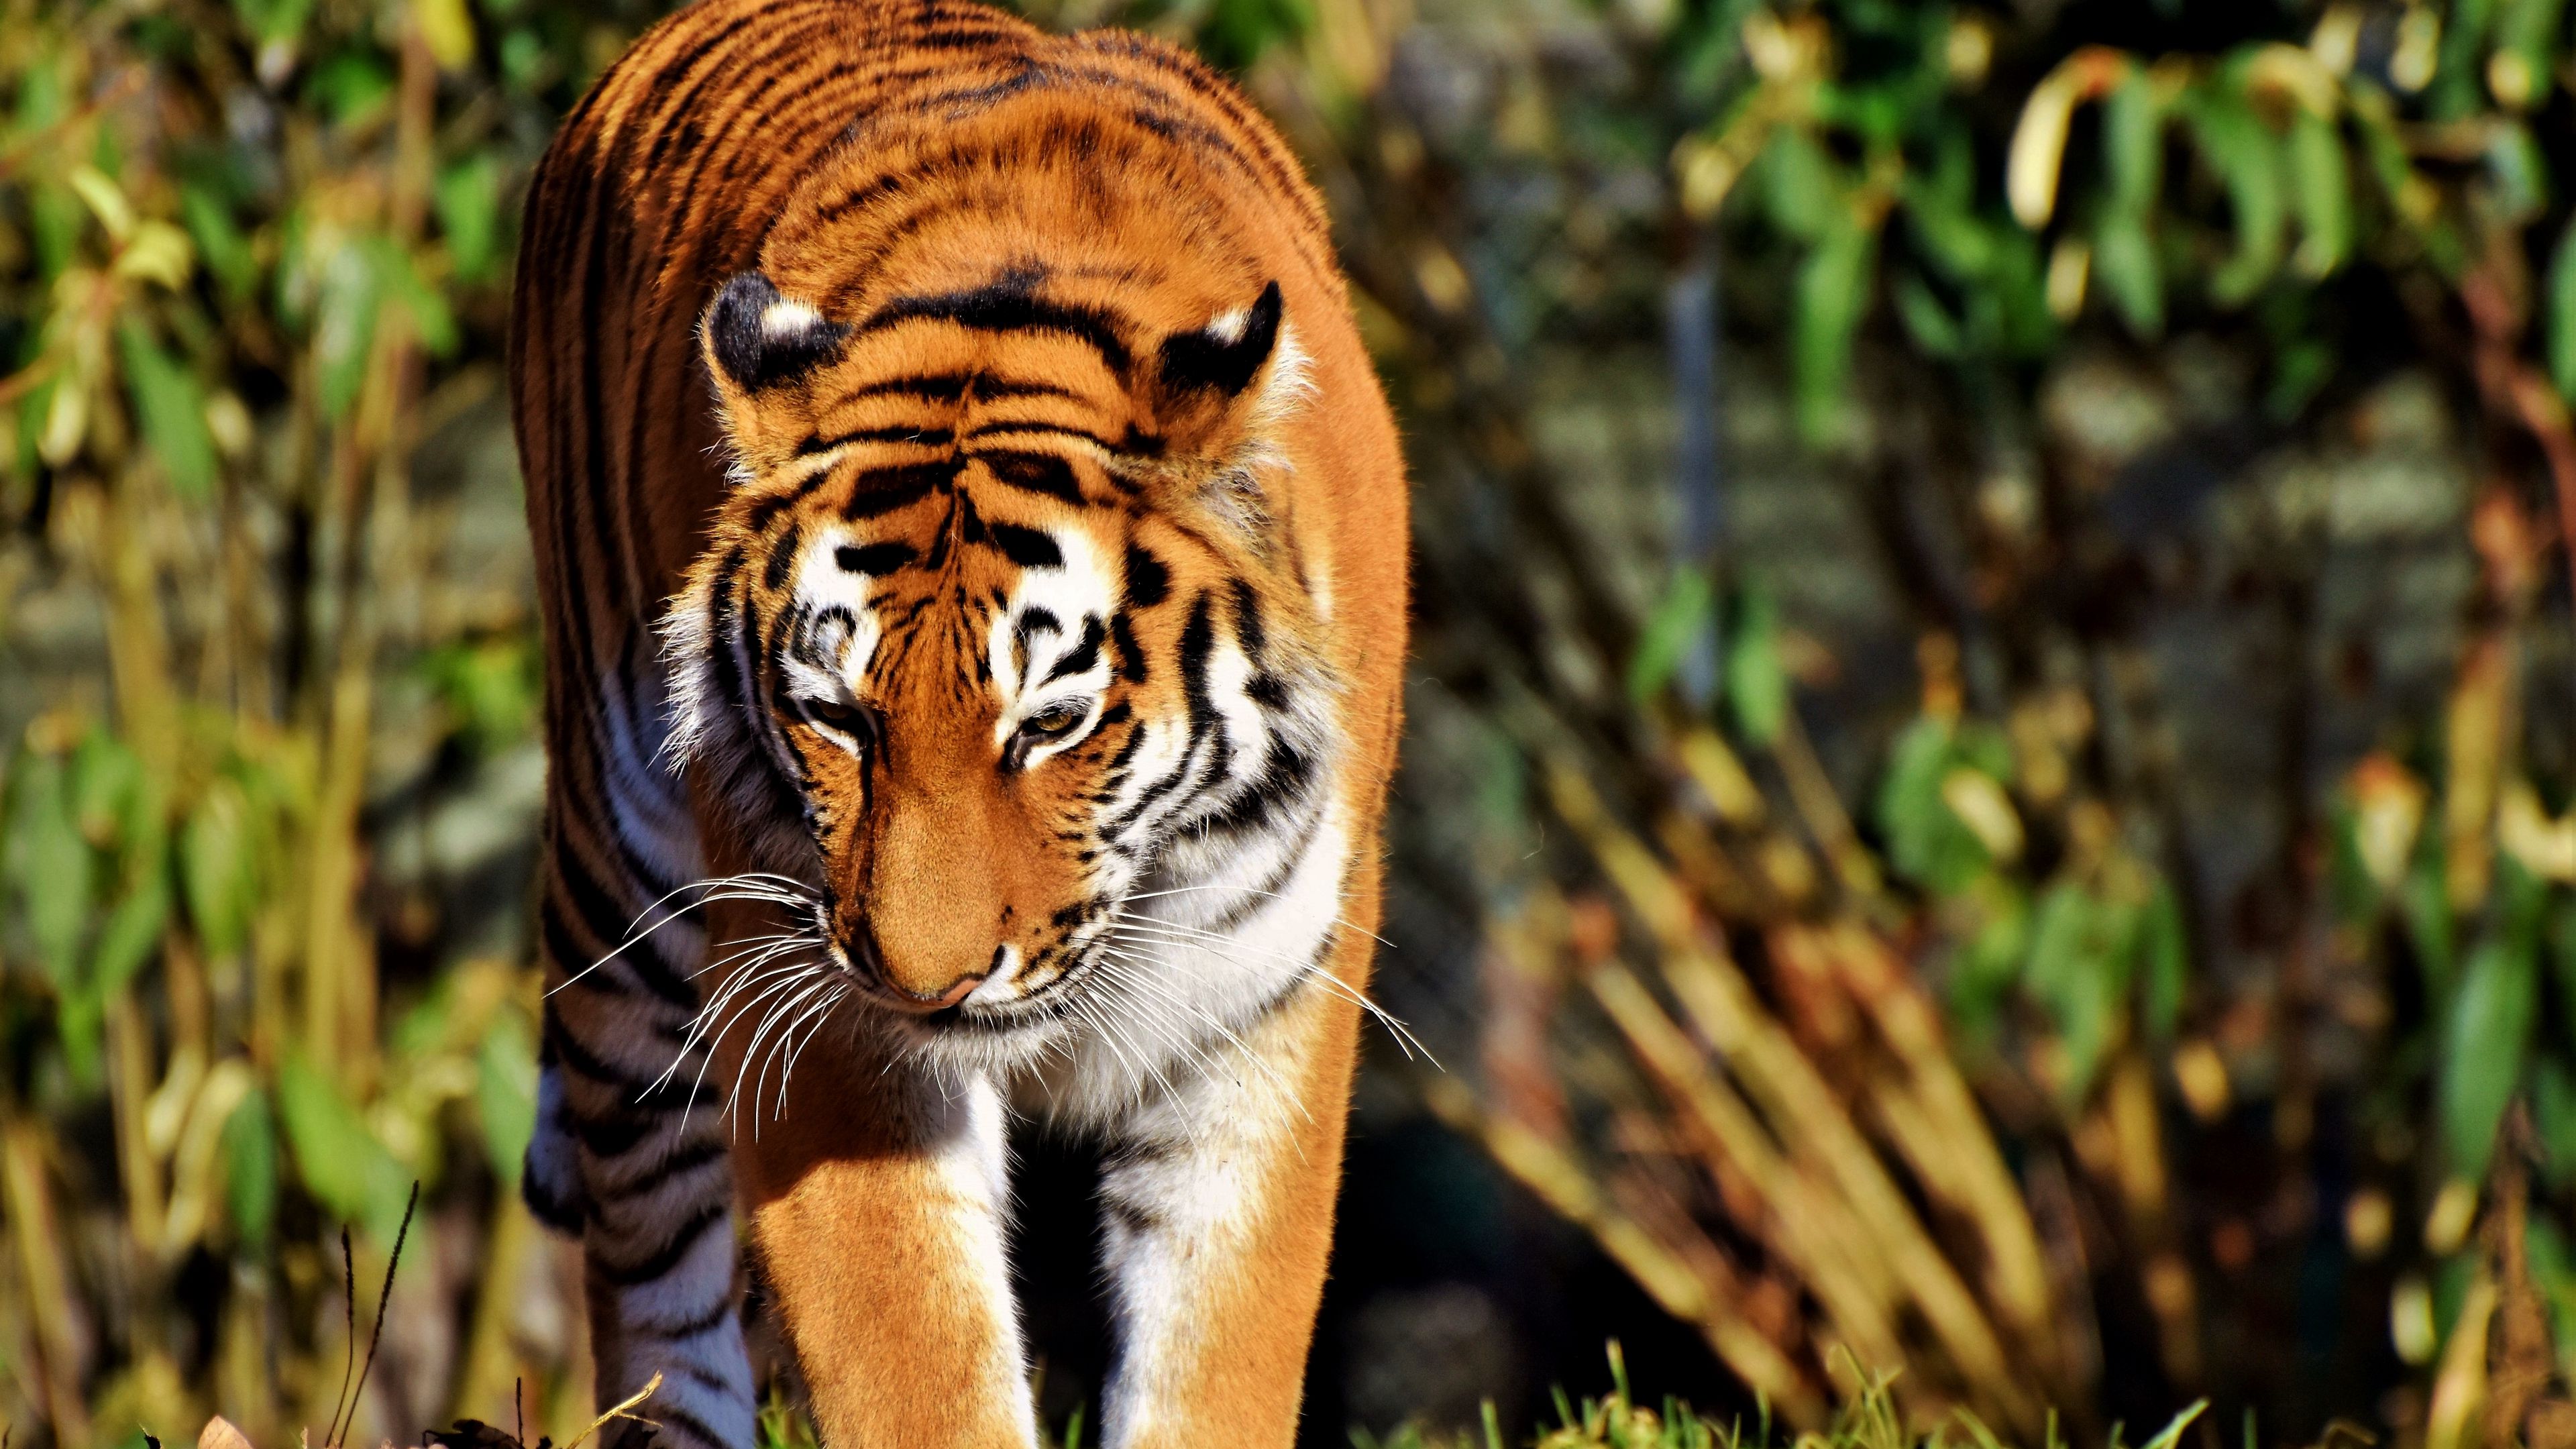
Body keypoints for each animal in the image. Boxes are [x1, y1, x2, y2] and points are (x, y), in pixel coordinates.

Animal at [505, 0, 1409, 1445]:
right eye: (834, 715)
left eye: (1054, 721)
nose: (923, 983)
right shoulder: (822, 1014)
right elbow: (918, 1361)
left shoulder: (1261, 1007)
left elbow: (1219, 1353)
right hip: (621, 893)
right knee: (651, 1269)